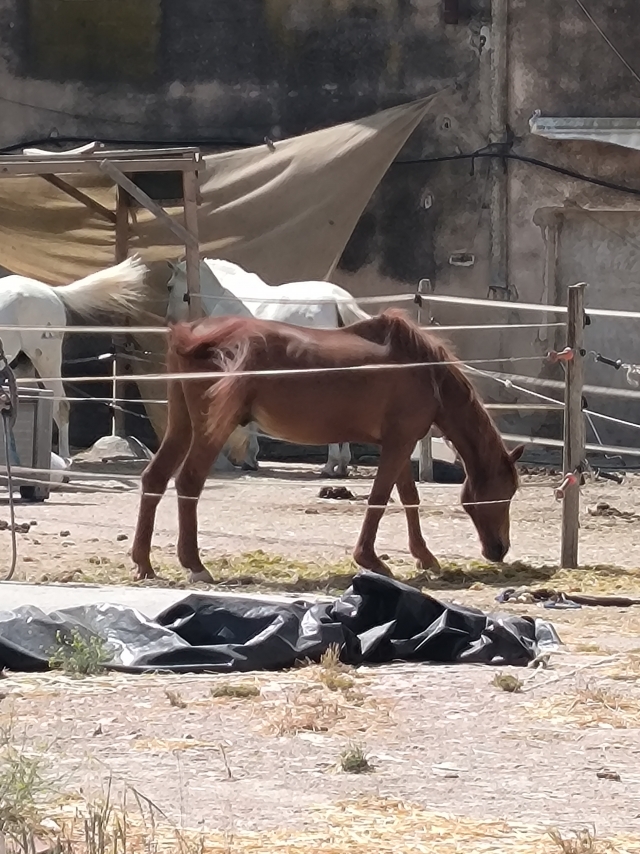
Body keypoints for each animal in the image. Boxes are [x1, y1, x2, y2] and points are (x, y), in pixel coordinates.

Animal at [131, 309, 524, 583]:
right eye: (505, 492)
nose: (499, 549)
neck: (423, 370)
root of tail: (191, 334)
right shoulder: (399, 442)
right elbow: (381, 498)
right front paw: (371, 560)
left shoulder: (399, 442)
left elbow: (408, 498)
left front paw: (424, 558)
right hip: (211, 429)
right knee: (188, 482)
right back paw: (195, 565)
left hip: (181, 425)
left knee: (155, 478)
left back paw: (144, 563)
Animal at [166, 258, 371, 477]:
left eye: (169, 286)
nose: (170, 322)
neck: (224, 295)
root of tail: (336, 298)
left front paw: (249, 459)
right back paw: (342, 465)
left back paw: (330, 464)